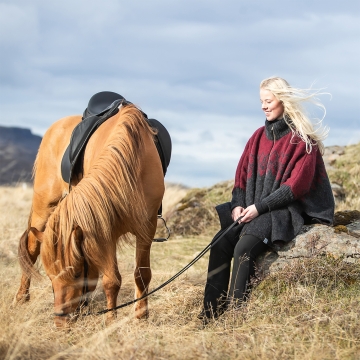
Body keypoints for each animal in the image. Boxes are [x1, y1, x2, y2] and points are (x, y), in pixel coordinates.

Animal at [15, 104, 165, 326]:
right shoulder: (105, 230)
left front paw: (141, 316)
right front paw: (111, 320)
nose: (60, 322)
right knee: (32, 248)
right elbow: (111, 280)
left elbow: (142, 274)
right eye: (50, 276)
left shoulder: (147, 228)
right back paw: (21, 298)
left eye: (78, 273)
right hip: (44, 207)